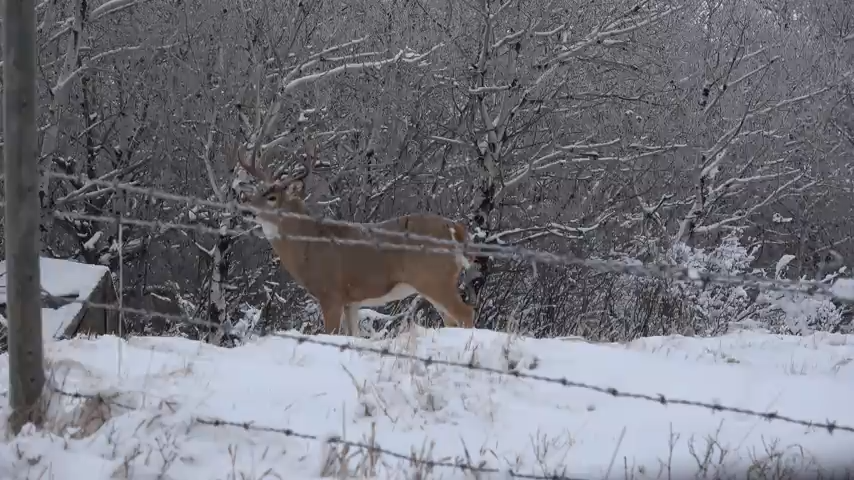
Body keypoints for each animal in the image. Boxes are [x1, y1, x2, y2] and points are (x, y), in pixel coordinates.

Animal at [232, 138, 476, 337]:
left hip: (433, 277)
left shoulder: (330, 293)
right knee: (452, 320)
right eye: (259, 190)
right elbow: (353, 336)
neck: (307, 246)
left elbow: (331, 334)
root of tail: (453, 228)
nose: (243, 204)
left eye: (272, 197)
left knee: (466, 313)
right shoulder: (352, 301)